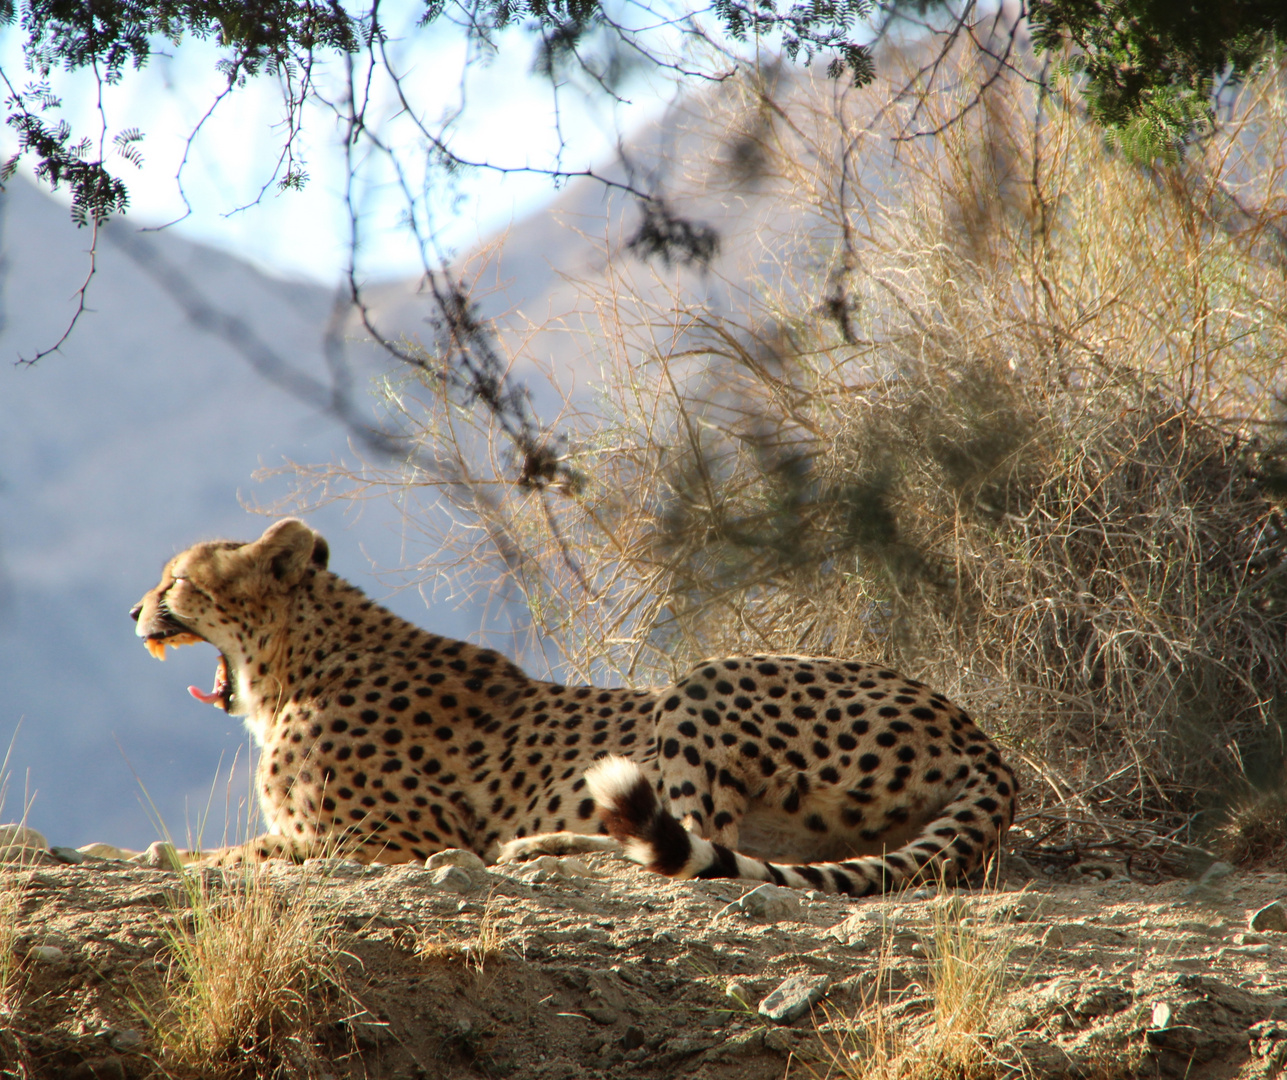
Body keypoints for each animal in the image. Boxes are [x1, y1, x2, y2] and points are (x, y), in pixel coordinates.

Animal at [130, 517, 1014, 895]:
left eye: (177, 581)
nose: (137, 612)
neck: (296, 662)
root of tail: (978, 737)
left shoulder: (402, 840)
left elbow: (250, 850)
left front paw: (157, 854)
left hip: (704, 681)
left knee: (694, 845)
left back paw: (540, 845)